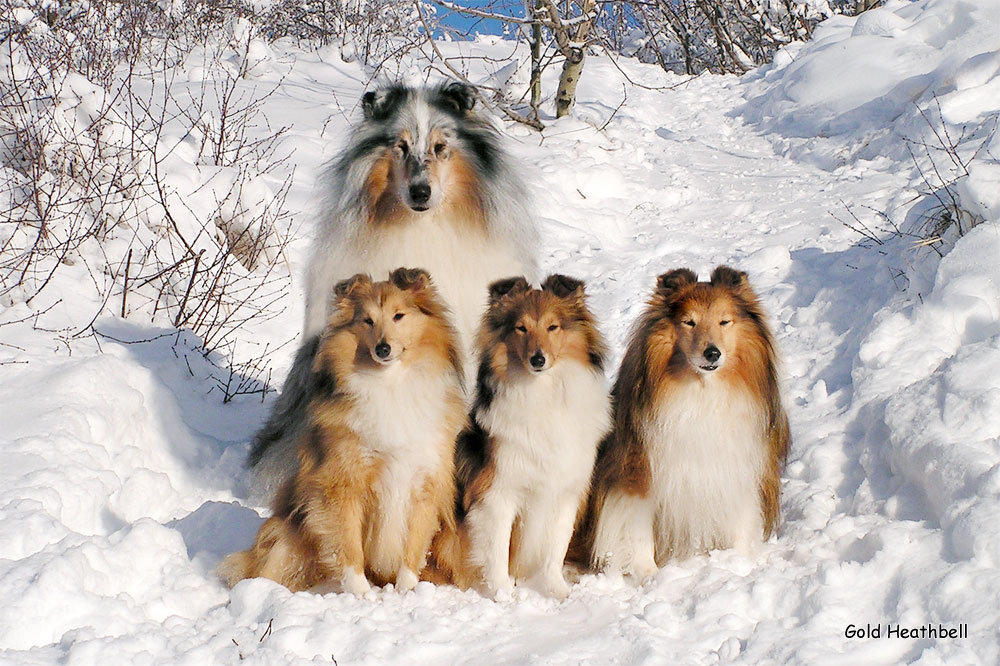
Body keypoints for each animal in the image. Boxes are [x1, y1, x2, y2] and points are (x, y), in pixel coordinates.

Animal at [219, 268, 464, 592]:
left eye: (399, 315)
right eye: (367, 320)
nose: (383, 348)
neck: (390, 384)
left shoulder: (425, 481)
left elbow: (413, 549)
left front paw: (406, 591)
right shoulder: (342, 482)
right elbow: (347, 546)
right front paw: (362, 593)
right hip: (290, 533)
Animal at [434, 274, 612, 596]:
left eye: (553, 327)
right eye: (521, 328)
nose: (538, 359)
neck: (544, 393)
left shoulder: (565, 492)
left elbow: (555, 549)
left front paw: (557, 590)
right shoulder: (497, 493)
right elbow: (497, 550)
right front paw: (503, 594)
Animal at [584, 268, 792, 580]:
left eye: (724, 321)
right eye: (689, 322)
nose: (712, 353)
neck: (703, 392)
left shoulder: (740, 468)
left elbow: (741, 518)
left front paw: (739, 560)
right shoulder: (636, 471)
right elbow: (637, 527)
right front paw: (648, 574)